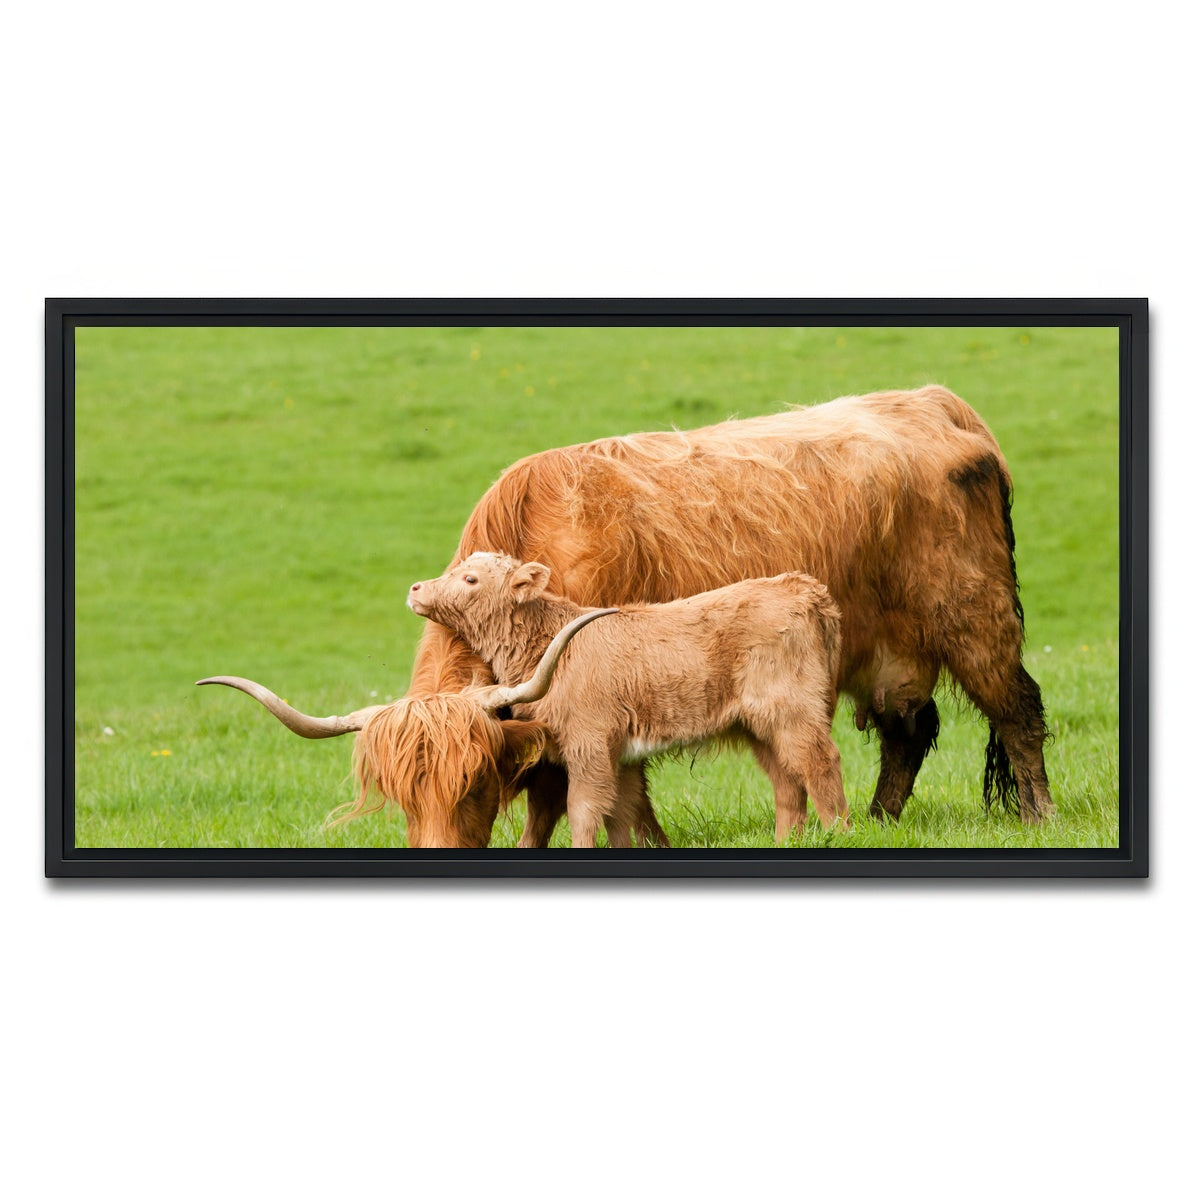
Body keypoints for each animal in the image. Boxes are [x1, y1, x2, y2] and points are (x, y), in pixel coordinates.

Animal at [399, 554, 848, 845]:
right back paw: (787, 841)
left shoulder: (589, 744)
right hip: (760, 724)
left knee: (819, 762)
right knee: (786, 778)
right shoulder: (623, 754)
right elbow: (621, 809)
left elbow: (583, 808)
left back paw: (839, 833)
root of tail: (804, 587)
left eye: (470, 579)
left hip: (794, 709)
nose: (415, 588)